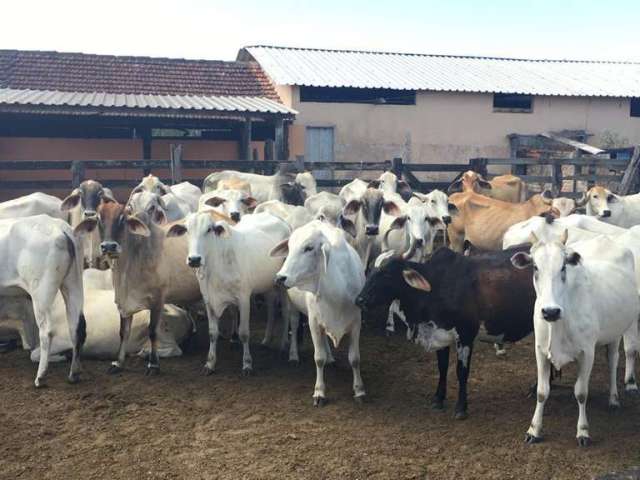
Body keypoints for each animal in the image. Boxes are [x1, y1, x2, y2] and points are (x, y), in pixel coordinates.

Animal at [0, 216, 84, 388]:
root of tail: (61, 229)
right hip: (74, 283)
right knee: (76, 326)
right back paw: (74, 374)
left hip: (40, 294)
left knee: (47, 332)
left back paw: (40, 376)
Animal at [169, 211, 292, 376]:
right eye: (187, 230)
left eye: (209, 229)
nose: (194, 259)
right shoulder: (209, 300)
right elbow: (212, 333)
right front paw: (210, 364)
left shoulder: (244, 298)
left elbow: (244, 333)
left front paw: (247, 364)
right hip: (267, 283)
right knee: (272, 308)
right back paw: (266, 340)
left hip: (283, 284)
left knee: (285, 311)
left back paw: (284, 344)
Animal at [356, 248, 536, 420]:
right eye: (370, 270)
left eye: (386, 273)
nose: (359, 300)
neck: (436, 286)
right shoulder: (440, 334)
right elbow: (442, 368)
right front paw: (438, 399)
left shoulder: (466, 335)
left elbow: (461, 372)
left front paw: (461, 408)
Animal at [510, 232, 640, 446]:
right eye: (535, 267)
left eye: (563, 266)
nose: (550, 311)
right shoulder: (540, 351)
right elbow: (542, 391)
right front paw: (534, 429)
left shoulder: (587, 353)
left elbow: (581, 392)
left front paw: (583, 431)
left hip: (615, 332)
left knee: (613, 361)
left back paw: (614, 399)